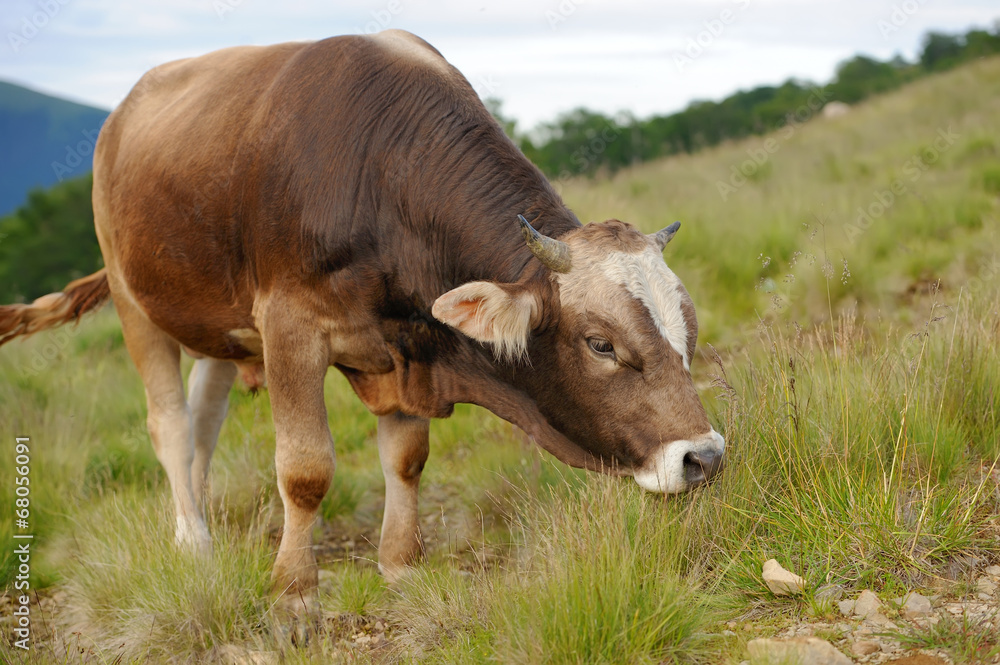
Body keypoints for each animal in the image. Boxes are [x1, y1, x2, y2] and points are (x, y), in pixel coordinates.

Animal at [0, 31, 724, 612]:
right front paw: (294, 589)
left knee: (204, 422)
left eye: (687, 331)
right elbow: (305, 468)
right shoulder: (289, 325)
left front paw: (400, 565)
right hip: (135, 299)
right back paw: (194, 544)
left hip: (218, 324)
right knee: (171, 426)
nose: (704, 456)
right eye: (601, 344)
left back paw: (198, 522)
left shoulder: (406, 340)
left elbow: (406, 459)